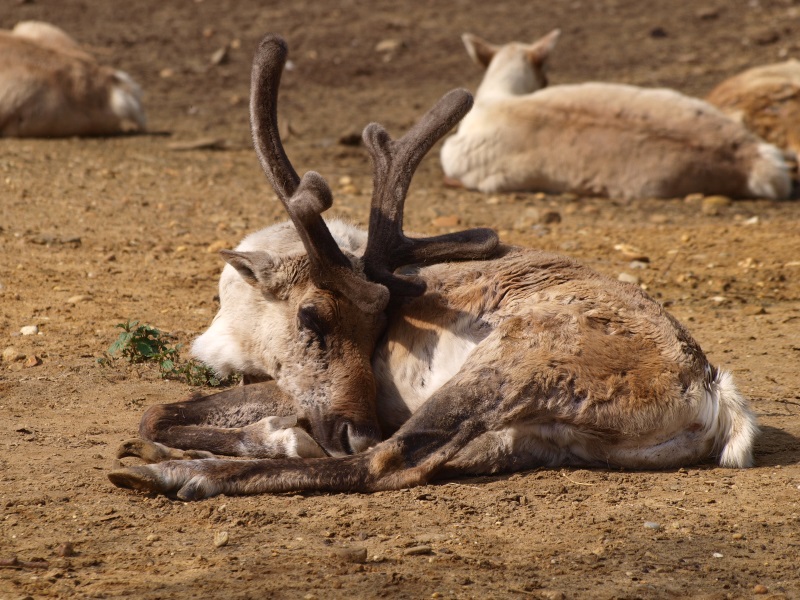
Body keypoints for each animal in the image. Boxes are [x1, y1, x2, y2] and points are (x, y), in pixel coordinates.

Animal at [108, 34, 758, 501]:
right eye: (313, 318)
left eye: (381, 326)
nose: (357, 426)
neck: (234, 324)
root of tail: (714, 393)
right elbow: (158, 412)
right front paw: (274, 435)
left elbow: (159, 413)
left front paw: (272, 439)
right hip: (532, 438)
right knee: (418, 460)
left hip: (506, 365)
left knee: (381, 462)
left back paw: (183, 474)